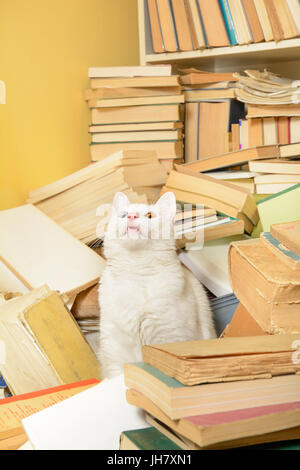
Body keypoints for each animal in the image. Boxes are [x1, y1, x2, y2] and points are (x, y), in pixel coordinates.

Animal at [98, 191, 216, 378]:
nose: (131, 216)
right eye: (123, 215)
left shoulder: (170, 337)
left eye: (150, 216)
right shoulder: (115, 351)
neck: (137, 270)